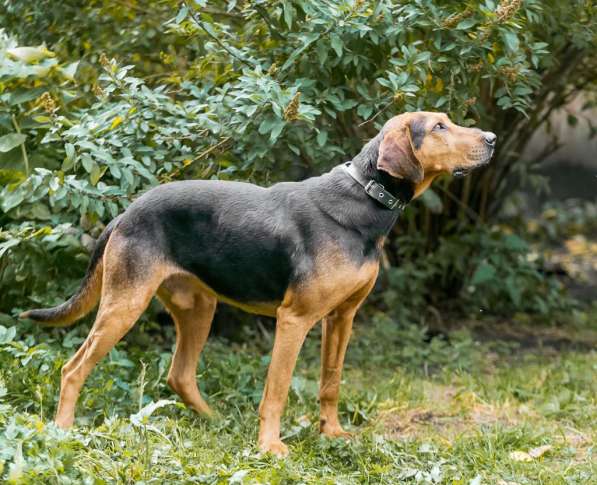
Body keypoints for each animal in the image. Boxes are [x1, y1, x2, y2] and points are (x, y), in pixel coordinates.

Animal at [19, 111, 494, 456]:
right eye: (439, 127)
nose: (490, 138)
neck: (365, 198)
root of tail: (125, 213)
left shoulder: (342, 317)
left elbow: (331, 383)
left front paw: (332, 434)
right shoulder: (295, 320)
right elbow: (277, 391)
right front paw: (270, 447)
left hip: (199, 308)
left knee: (179, 375)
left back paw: (214, 420)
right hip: (124, 304)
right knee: (73, 369)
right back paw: (62, 431)